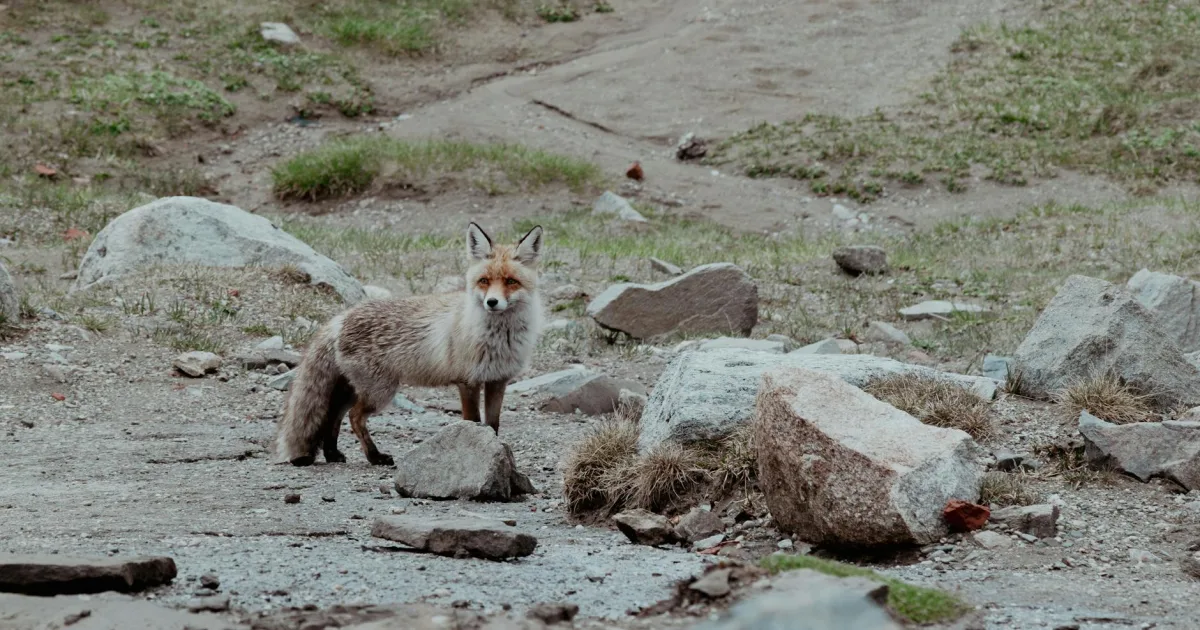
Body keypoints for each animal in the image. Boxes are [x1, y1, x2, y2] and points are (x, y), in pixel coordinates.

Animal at [273, 222, 545, 467]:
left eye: (511, 281)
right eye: (484, 281)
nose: (492, 302)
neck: (498, 339)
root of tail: (342, 317)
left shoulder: (498, 380)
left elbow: (493, 424)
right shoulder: (467, 381)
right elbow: (474, 422)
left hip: (354, 390)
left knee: (333, 415)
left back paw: (332, 454)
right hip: (379, 392)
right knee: (354, 417)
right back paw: (375, 457)